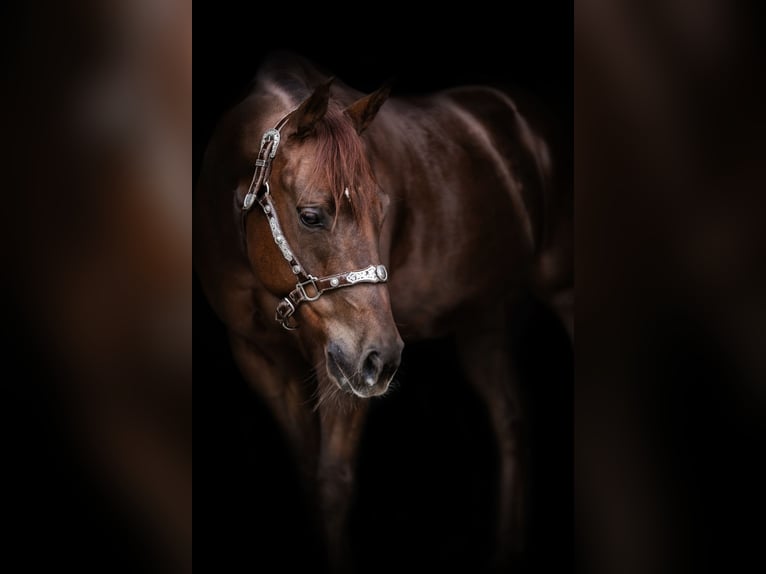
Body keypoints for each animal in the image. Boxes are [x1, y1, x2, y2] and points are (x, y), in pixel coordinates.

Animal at [195, 51, 572, 572]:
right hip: (483, 322)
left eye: (383, 208)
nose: (384, 358)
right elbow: (308, 479)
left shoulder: (339, 367)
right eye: (311, 215)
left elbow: (332, 485)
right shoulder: (260, 357)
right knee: (511, 420)